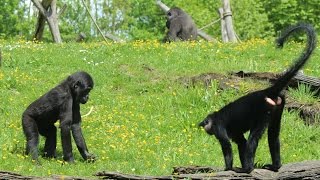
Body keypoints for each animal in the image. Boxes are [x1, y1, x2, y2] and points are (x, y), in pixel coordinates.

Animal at [199, 23, 316, 173]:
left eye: (207, 125)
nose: (206, 129)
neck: (215, 116)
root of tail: (267, 91)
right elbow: (241, 143)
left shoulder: (219, 127)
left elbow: (227, 146)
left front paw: (227, 168)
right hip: (277, 108)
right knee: (273, 135)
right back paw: (275, 166)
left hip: (263, 111)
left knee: (253, 139)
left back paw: (247, 169)